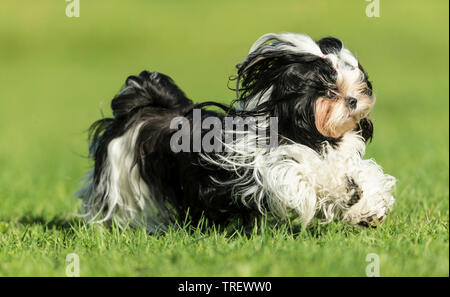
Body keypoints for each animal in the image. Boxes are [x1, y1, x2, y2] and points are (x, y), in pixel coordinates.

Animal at [77, 33, 398, 231]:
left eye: (360, 86)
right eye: (330, 91)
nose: (354, 100)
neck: (315, 137)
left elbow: (364, 177)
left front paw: (366, 209)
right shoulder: (276, 172)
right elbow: (309, 177)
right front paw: (341, 191)